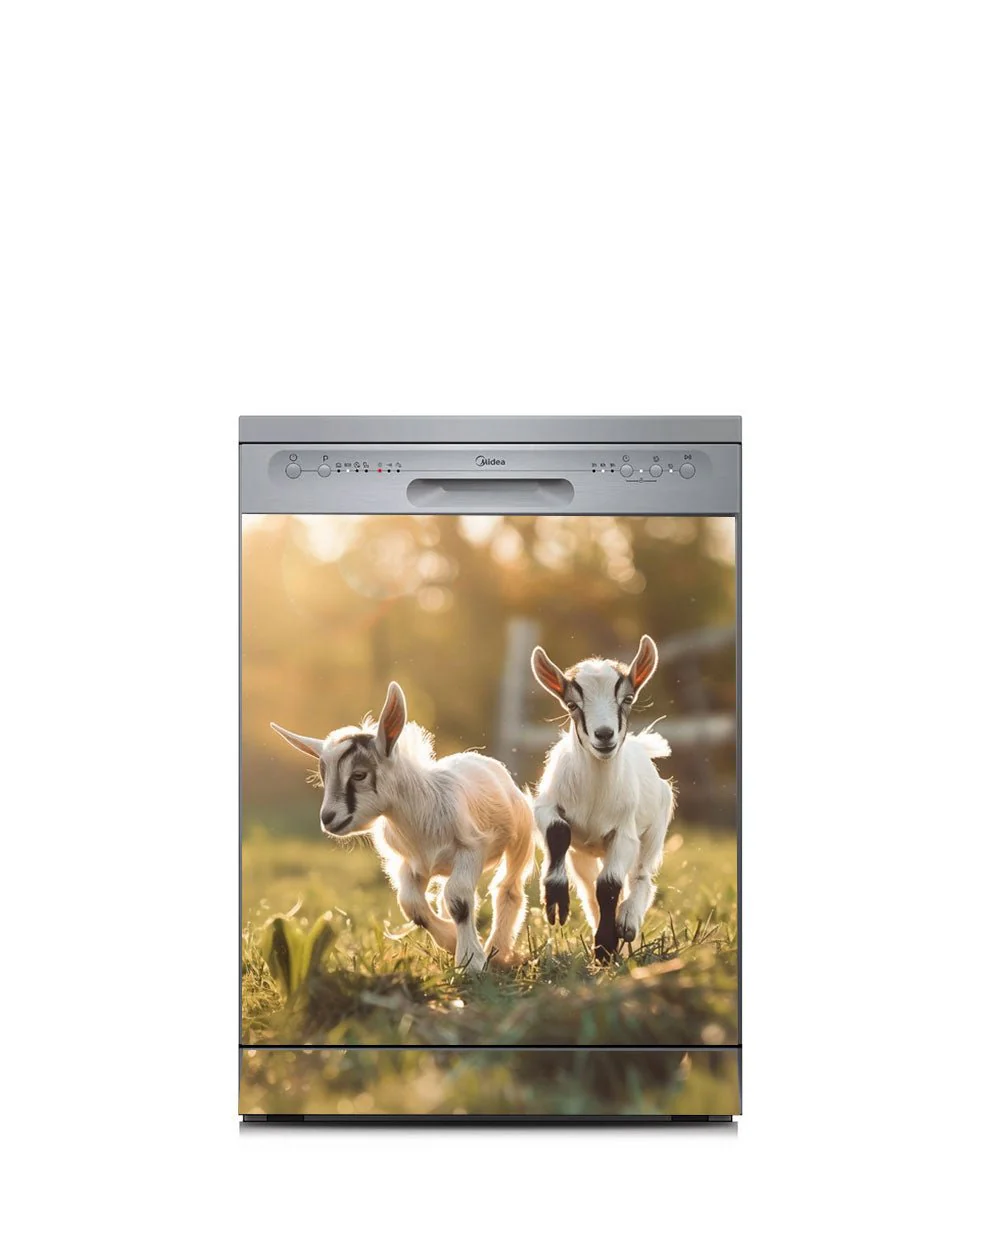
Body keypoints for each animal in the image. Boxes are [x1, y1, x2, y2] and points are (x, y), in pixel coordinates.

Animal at [271, 682, 535, 973]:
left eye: (359, 775)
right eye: (323, 778)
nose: (328, 818)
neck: (421, 812)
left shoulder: (471, 848)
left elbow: (458, 899)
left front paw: (471, 961)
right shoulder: (410, 863)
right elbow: (412, 905)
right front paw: (451, 940)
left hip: (521, 837)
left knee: (508, 888)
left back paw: (498, 951)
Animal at [530, 635, 675, 962]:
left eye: (628, 699)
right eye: (572, 704)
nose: (604, 735)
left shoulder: (624, 833)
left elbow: (609, 885)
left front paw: (606, 947)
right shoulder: (545, 807)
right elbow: (558, 831)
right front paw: (555, 901)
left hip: (656, 826)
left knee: (641, 876)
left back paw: (628, 922)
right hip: (582, 852)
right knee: (587, 887)